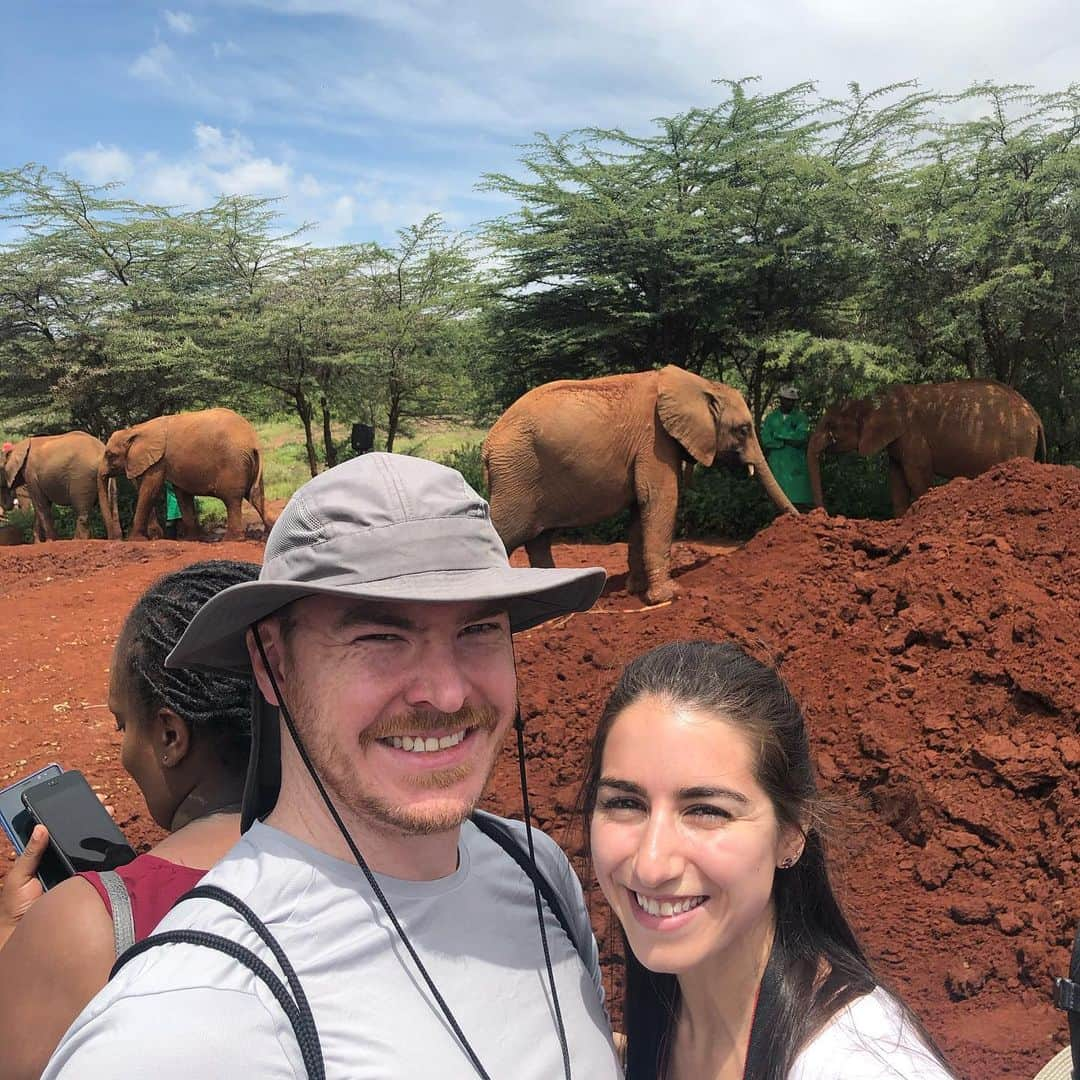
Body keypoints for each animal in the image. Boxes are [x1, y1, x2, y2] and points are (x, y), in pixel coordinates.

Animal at [101, 406, 272, 540]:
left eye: (110, 455)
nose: (156, 534)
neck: (135, 430)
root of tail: (253, 441)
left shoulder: (158, 461)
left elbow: (149, 490)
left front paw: (136, 540)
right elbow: (182, 494)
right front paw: (192, 539)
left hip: (233, 462)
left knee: (232, 499)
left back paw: (231, 539)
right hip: (248, 463)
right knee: (256, 496)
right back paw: (267, 534)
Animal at [486, 360, 799, 600]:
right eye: (743, 429)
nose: (798, 521)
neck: (699, 385)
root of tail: (488, 446)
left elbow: (640, 508)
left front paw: (634, 591)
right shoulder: (654, 441)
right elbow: (660, 499)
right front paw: (669, 596)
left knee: (539, 539)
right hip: (516, 473)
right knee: (507, 530)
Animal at [812, 378, 1045, 516]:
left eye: (831, 425)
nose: (826, 515)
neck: (875, 400)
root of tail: (1036, 417)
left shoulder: (912, 434)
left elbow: (917, 476)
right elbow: (896, 480)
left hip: (1018, 443)